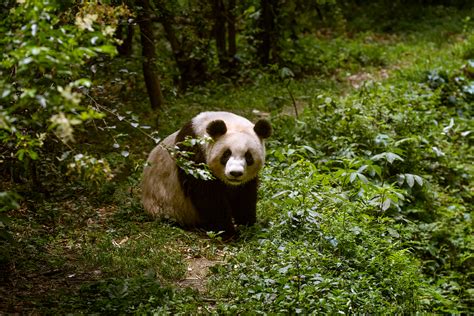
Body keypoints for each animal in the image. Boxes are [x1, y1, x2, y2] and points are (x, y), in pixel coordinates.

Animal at [141, 111, 272, 237]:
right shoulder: (192, 153)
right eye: (226, 154)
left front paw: (248, 225)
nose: (235, 173)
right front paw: (229, 232)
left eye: (248, 156)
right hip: (166, 204)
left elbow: (245, 195)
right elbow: (208, 197)